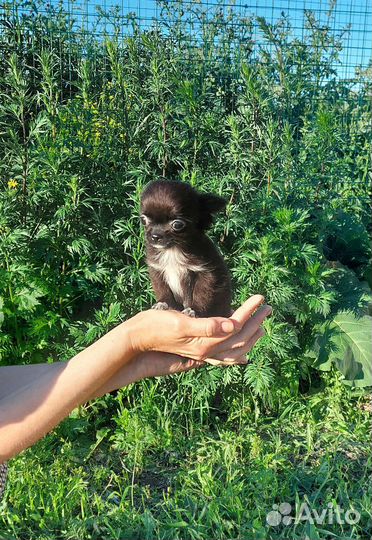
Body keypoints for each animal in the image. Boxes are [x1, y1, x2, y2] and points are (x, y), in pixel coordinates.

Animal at [140, 179, 231, 318]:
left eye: (177, 225)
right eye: (143, 220)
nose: (155, 236)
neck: (172, 250)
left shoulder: (206, 273)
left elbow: (201, 293)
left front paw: (194, 310)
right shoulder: (157, 270)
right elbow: (162, 289)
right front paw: (163, 303)